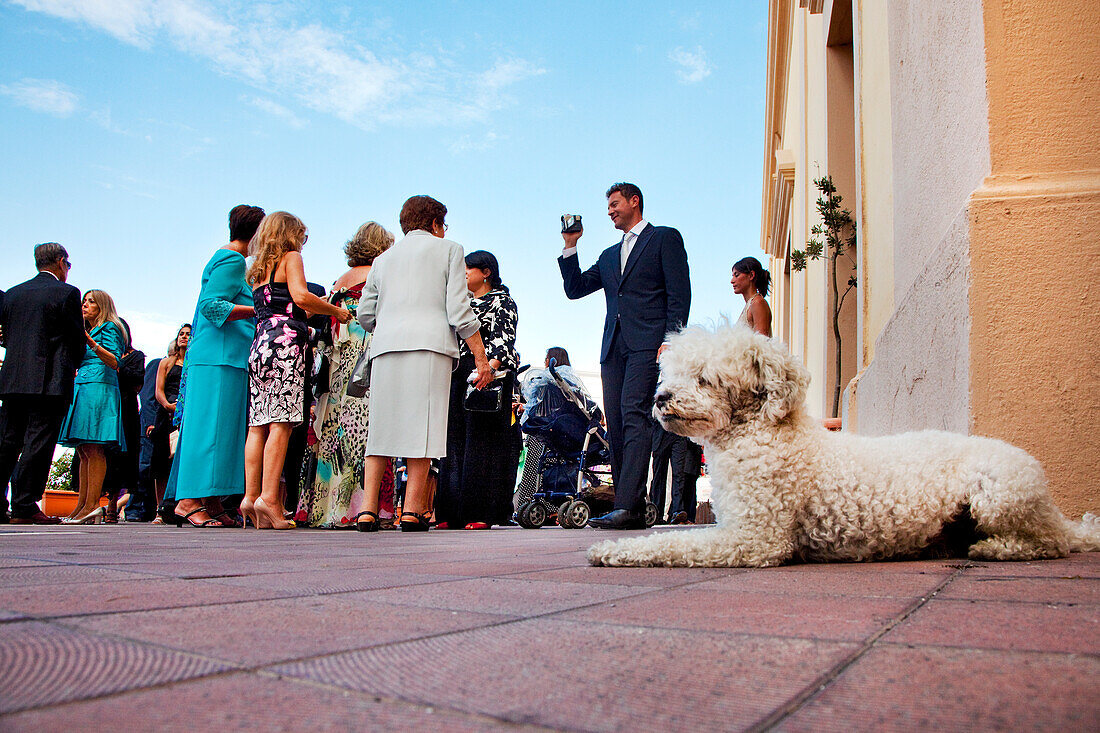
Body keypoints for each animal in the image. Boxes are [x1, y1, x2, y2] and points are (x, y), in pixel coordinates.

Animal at [594, 323, 1100, 567]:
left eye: (705, 378)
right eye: (673, 373)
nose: (660, 398)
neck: (764, 432)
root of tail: (1052, 504)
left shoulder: (755, 538)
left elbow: (674, 542)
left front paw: (613, 550)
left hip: (997, 491)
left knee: (1053, 544)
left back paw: (997, 549)